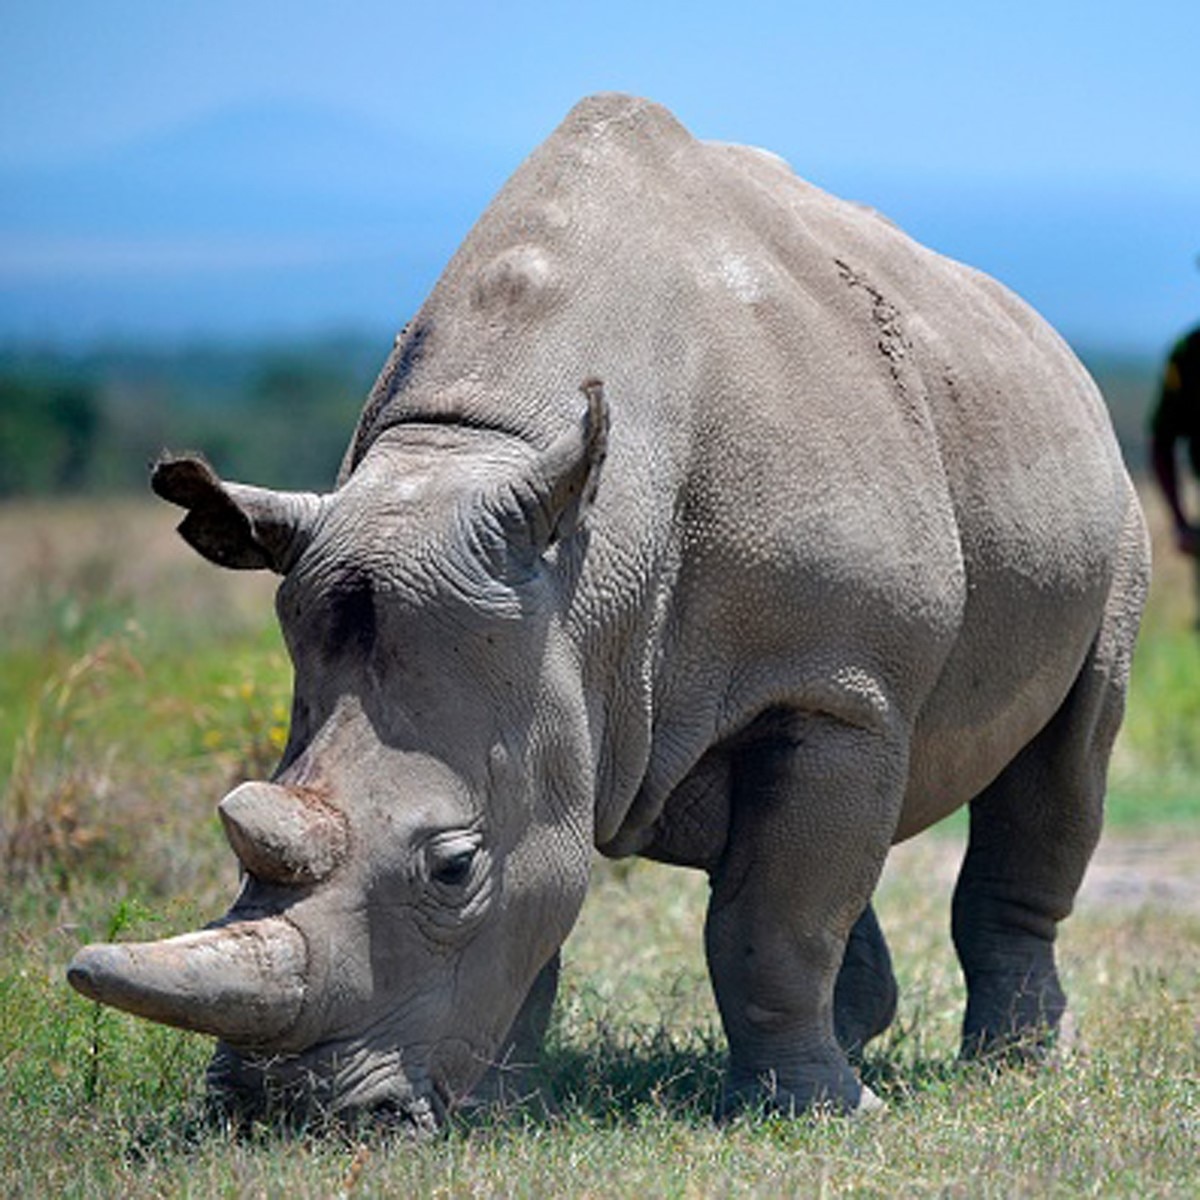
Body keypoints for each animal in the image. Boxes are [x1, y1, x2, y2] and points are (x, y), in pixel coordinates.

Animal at [68, 93, 1148, 1126]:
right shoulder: (548, 652)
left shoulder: (833, 686)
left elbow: (775, 922)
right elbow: (562, 889)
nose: (285, 1111)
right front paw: (499, 1110)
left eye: (452, 867)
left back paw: (1017, 1063)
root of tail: (1048, 339)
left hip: (1111, 508)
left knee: (1067, 756)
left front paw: (820, 1115)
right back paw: (866, 1031)